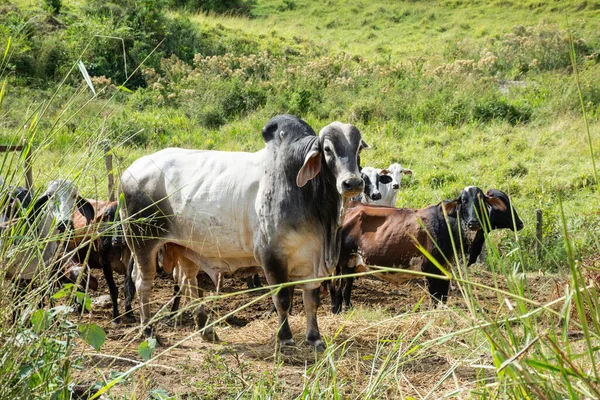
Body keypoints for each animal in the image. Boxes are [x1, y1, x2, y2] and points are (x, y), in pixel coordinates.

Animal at [120, 114, 366, 348]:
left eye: (358, 149)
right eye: (328, 149)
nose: (352, 183)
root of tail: (130, 170)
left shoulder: (312, 258)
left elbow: (311, 300)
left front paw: (314, 338)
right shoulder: (271, 255)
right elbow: (282, 299)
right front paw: (285, 338)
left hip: (186, 246)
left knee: (187, 280)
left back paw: (205, 329)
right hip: (142, 242)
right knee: (143, 282)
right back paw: (150, 331)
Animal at [330, 186, 524, 314]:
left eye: (481, 201)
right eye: (463, 201)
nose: (473, 222)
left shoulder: (447, 270)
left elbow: (443, 297)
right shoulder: (431, 269)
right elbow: (435, 297)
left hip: (352, 264)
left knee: (346, 287)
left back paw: (348, 309)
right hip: (343, 262)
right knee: (338, 288)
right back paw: (337, 310)